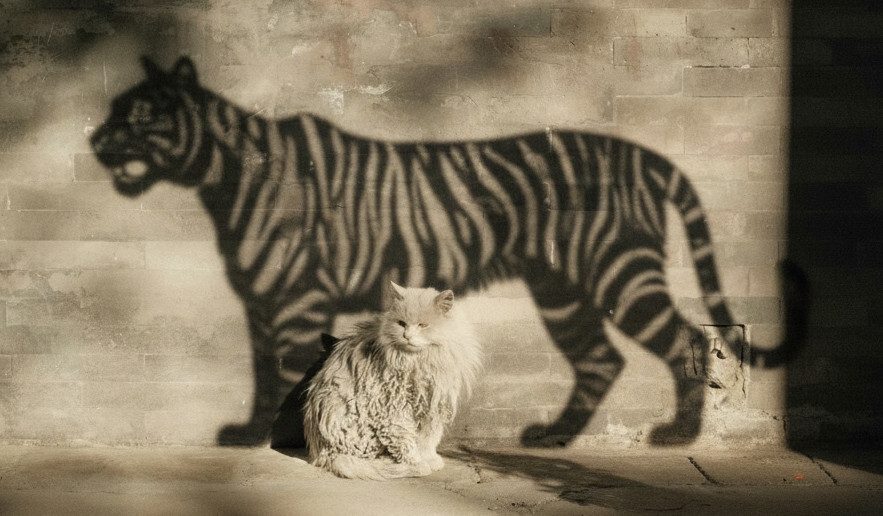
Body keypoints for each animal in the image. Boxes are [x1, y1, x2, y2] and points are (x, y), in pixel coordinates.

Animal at [90, 56, 791, 447]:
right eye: (114, 107)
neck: (220, 178)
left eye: (140, 114)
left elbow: (288, 371)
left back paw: (675, 438)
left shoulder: (295, 297)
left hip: (617, 270)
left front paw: (281, 438)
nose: (95, 141)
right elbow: (266, 373)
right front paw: (253, 434)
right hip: (561, 291)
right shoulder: (264, 300)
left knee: (687, 339)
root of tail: (647, 154)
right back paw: (554, 439)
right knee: (600, 359)